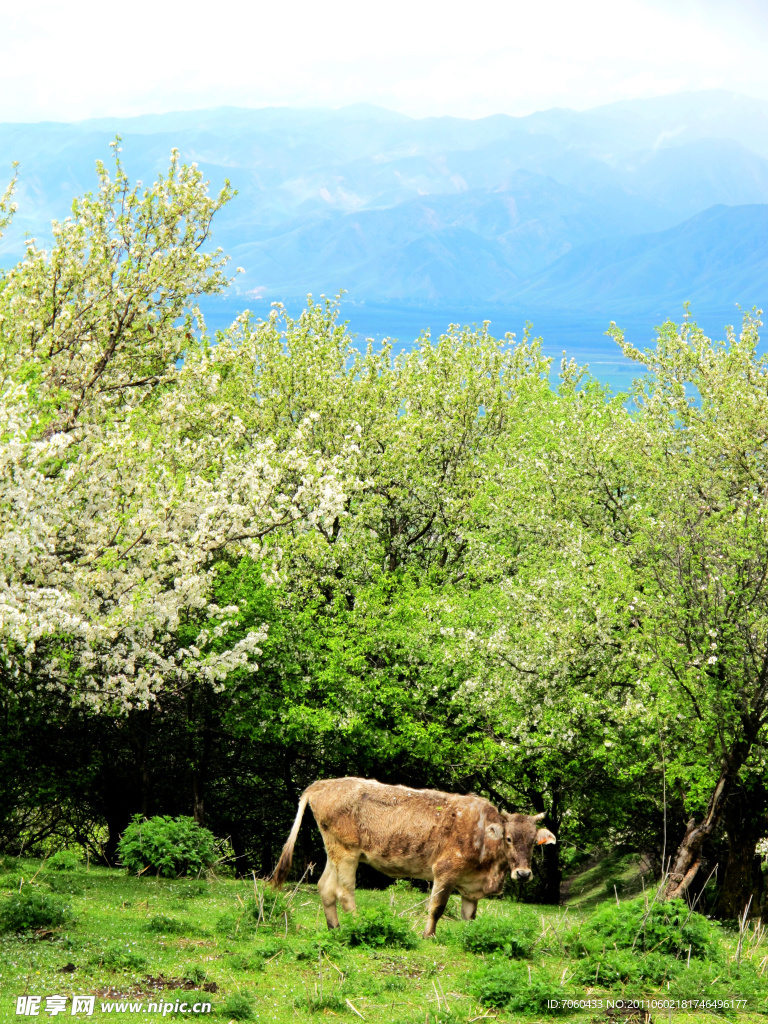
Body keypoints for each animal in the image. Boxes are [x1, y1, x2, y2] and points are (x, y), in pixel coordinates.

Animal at [274, 774, 557, 937]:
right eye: (508, 838)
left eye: (534, 843)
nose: (524, 873)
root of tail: (321, 784)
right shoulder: (445, 871)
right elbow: (437, 907)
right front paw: (428, 935)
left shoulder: (470, 886)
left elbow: (469, 916)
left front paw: (471, 937)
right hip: (346, 853)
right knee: (344, 891)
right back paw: (358, 925)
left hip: (333, 850)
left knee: (325, 887)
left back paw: (335, 928)